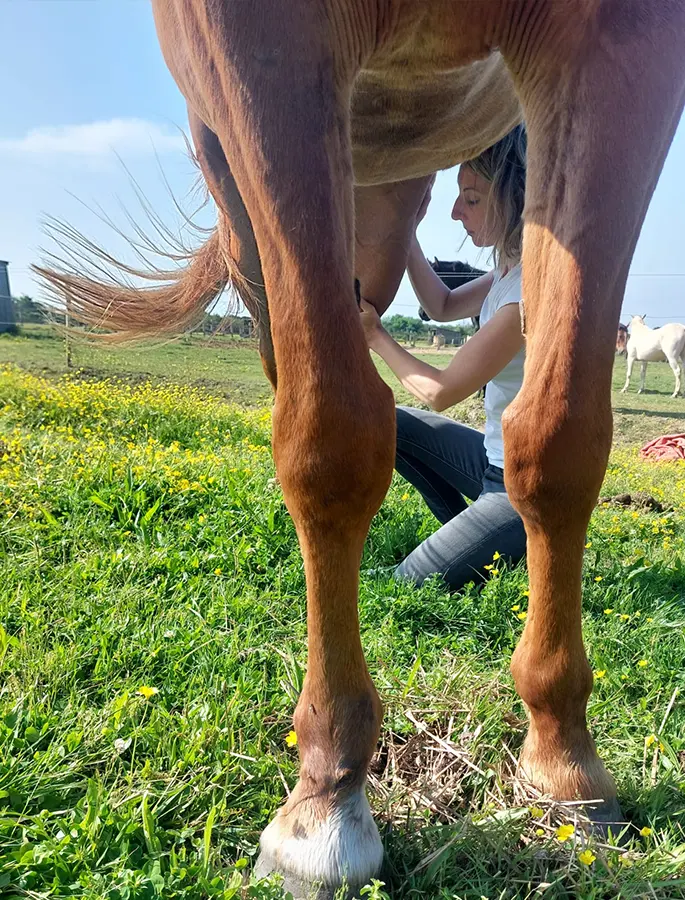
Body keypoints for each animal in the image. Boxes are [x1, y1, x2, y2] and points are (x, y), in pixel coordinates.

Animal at [34, 1, 685, 895]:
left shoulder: (621, 50)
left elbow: (556, 439)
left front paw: (562, 761)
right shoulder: (259, 56)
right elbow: (328, 440)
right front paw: (325, 799)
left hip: (377, 197)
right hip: (243, 181)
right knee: (293, 372)